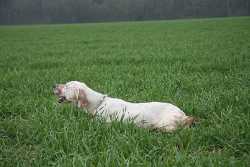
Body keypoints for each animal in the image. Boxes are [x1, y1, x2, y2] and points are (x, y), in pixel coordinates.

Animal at [53, 81, 195, 132]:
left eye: (67, 86)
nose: (53, 85)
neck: (99, 103)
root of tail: (184, 115)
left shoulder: (105, 123)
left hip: (165, 124)